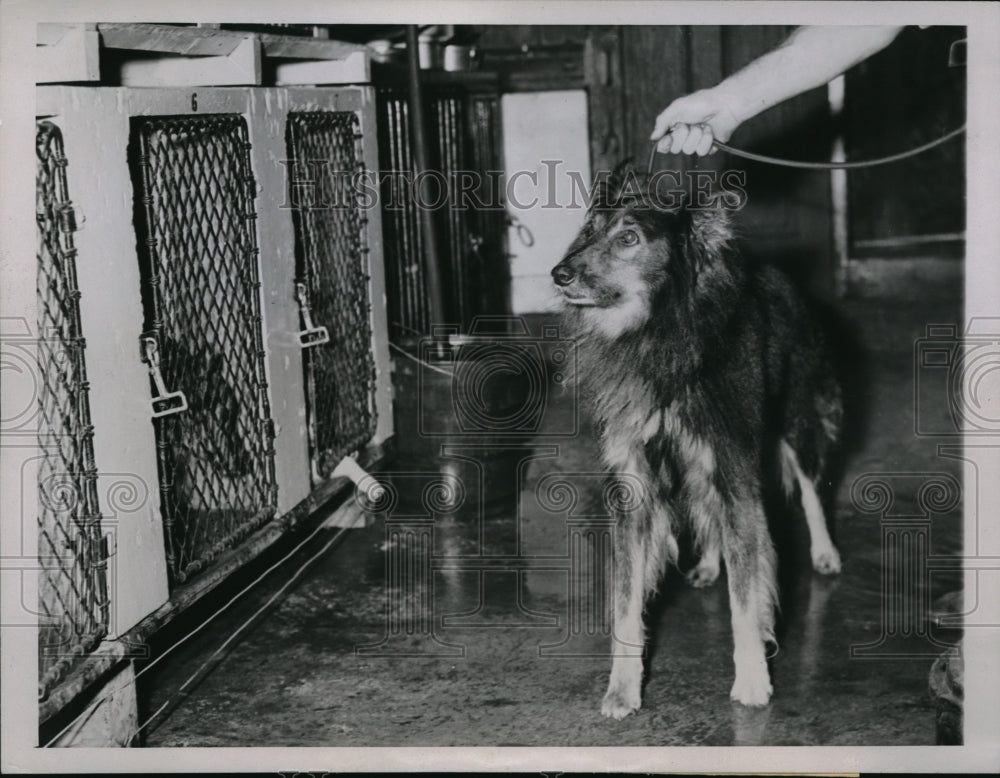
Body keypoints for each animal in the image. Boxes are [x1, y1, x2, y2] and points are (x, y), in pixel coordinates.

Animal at [552, 168, 840, 716]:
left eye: (628, 239)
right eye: (591, 230)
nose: (560, 274)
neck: (661, 333)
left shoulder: (733, 472)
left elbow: (746, 596)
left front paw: (752, 678)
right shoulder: (635, 488)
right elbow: (626, 605)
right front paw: (622, 689)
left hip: (795, 420)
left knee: (812, 488)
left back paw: (825, 554)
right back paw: (709, 563)